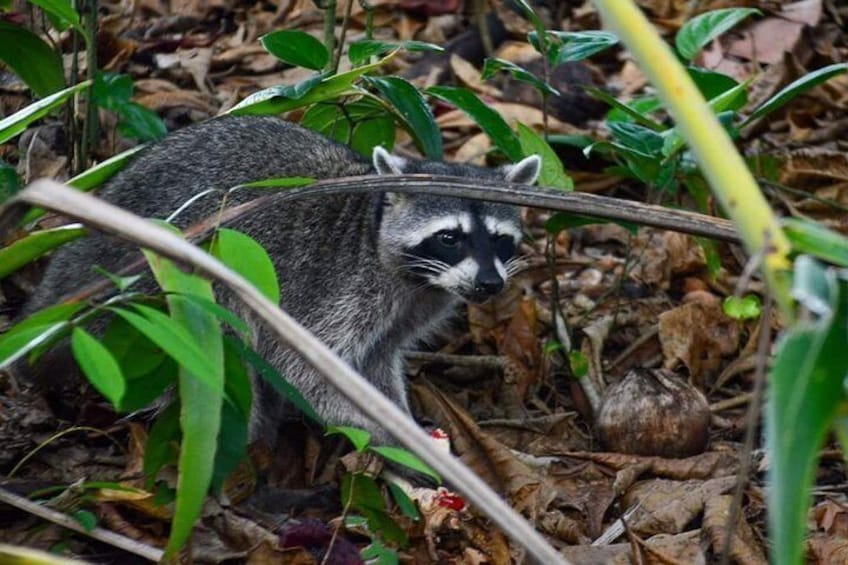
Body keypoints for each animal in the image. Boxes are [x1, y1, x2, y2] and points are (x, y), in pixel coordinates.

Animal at [23, 114, 540, 448]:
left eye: (500, 240)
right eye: (450, 238)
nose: (490, 285)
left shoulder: (405, 308)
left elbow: (376, 361)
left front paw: (398, 417)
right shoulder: (335, 286)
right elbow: (301, 366)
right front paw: (380, 431)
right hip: (164, 292)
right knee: (228, 352)